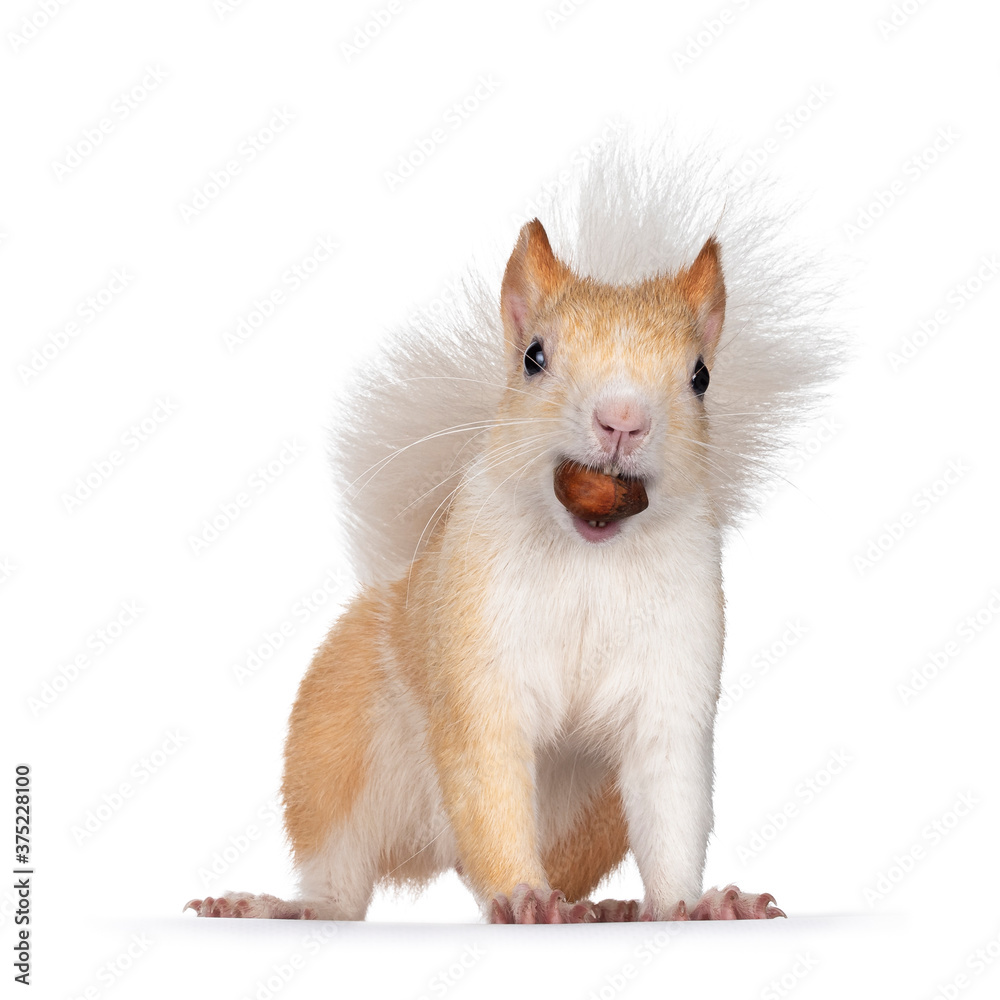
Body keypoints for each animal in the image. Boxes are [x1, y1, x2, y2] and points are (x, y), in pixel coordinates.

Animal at [186, 131, 840, 923]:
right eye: (533, 357)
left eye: (701, 377)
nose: (622, 420)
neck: (589, 550)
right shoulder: (479, 669)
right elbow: (489, 780)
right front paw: (526, 896)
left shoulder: (671, 684)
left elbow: (673, 807)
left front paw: (699, 903)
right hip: (333, 750)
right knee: (343, 880)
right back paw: (281, 906)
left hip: (591, 813)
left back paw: (610, 908)